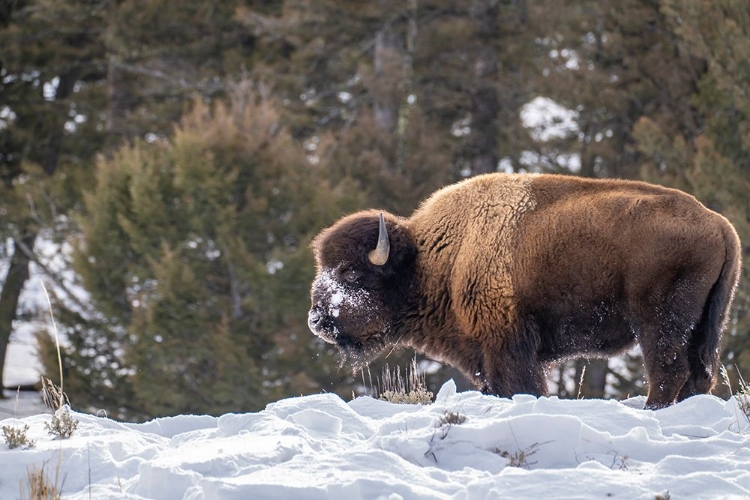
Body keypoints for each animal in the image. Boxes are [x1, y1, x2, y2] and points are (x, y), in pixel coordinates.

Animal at [308, 174, 744, 408]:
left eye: (351, 273)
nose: (317, 319)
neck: (435, 257)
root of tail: (720, 224)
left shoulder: (507, 344)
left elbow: (519, 386)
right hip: (706, 324)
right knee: (699, 374)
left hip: (658, 324)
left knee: (668, 371)